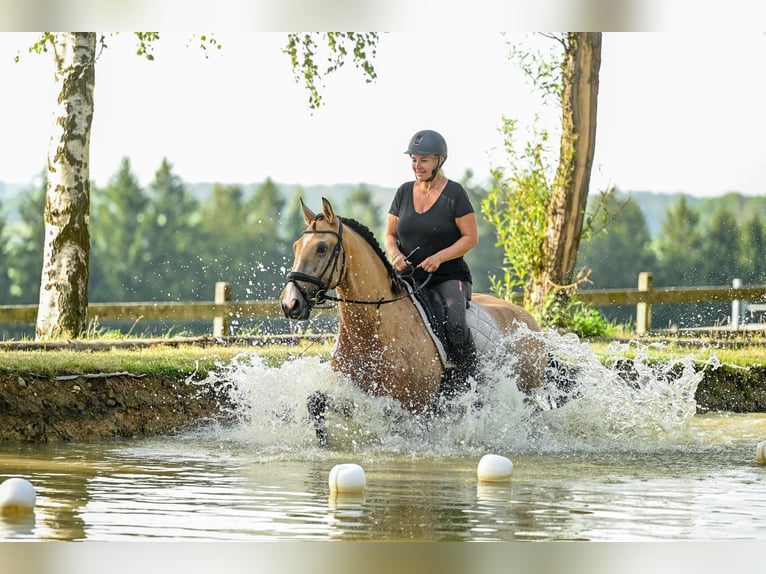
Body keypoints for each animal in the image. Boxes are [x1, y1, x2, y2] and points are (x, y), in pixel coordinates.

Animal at [282, 198, 552, 446]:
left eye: (321, 248)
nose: (290, 303)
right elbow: (316, 402)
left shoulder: (415, 408)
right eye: (296, 246)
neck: (373, 330)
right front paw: (323, 442)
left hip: (527, 391)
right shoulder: (362, 395)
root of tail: (529, 320)